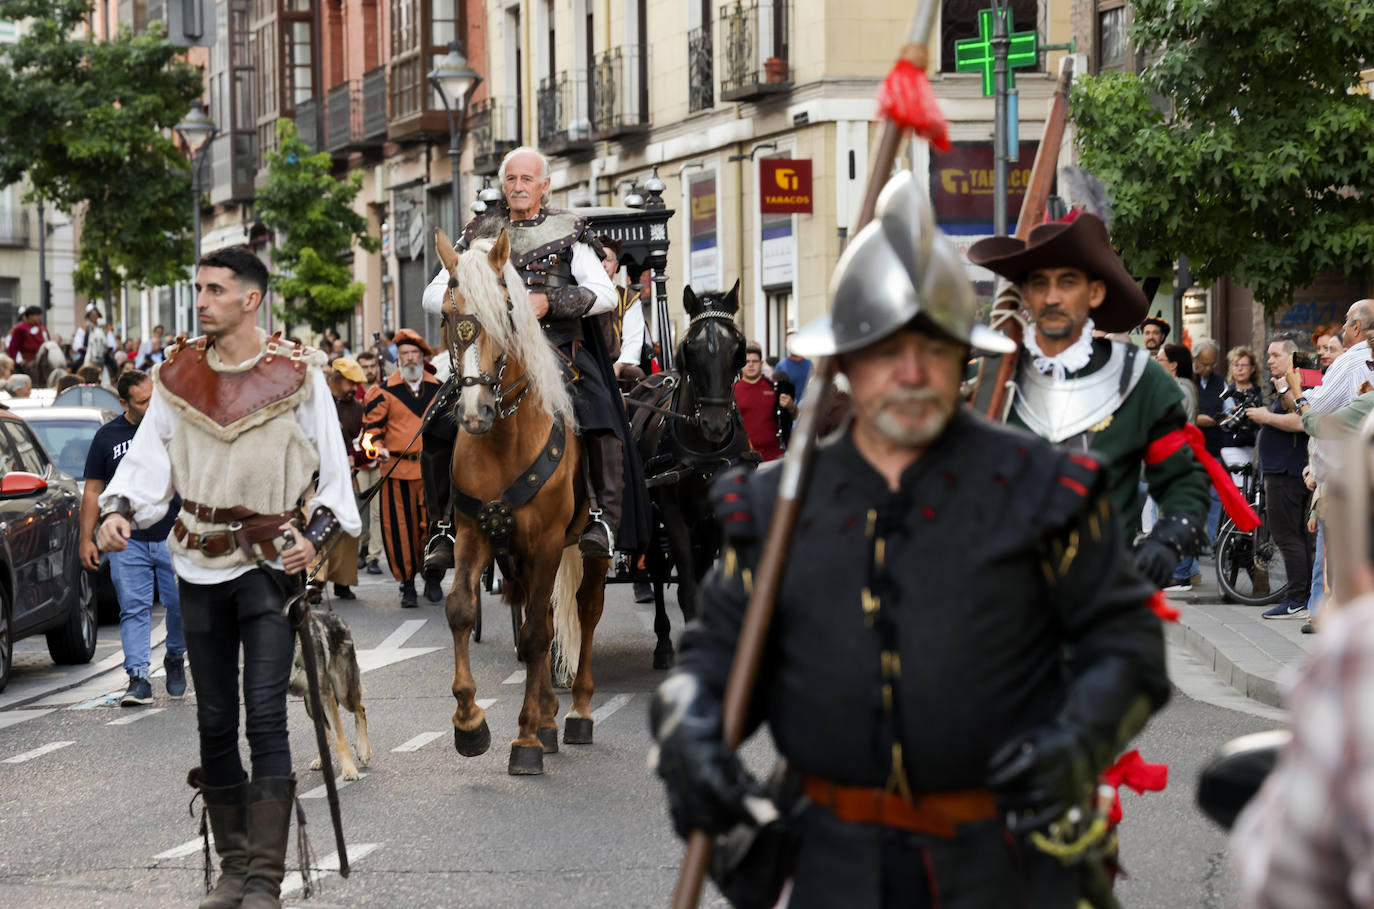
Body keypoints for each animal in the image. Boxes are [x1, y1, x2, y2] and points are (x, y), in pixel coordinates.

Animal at [434, 226, 612, 774]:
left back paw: (575, 713)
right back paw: (551, 717)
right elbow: (462, 610)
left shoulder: (547, 542)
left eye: (507, 313)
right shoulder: (476, 536)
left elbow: (535, 635)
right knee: (551, 620)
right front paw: (470, 725)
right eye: (447, 317)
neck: (503, 440)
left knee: (585, 610)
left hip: (584, 550)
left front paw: (526, 739)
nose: (474, 412)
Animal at [629, 280, 758, 670]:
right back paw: (662, 643)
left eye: (737, 347)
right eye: (692, 348)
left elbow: (706, 581)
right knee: (657, 572)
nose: (715, 425)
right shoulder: (674, 517)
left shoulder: (716, 519)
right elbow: (687, 587)